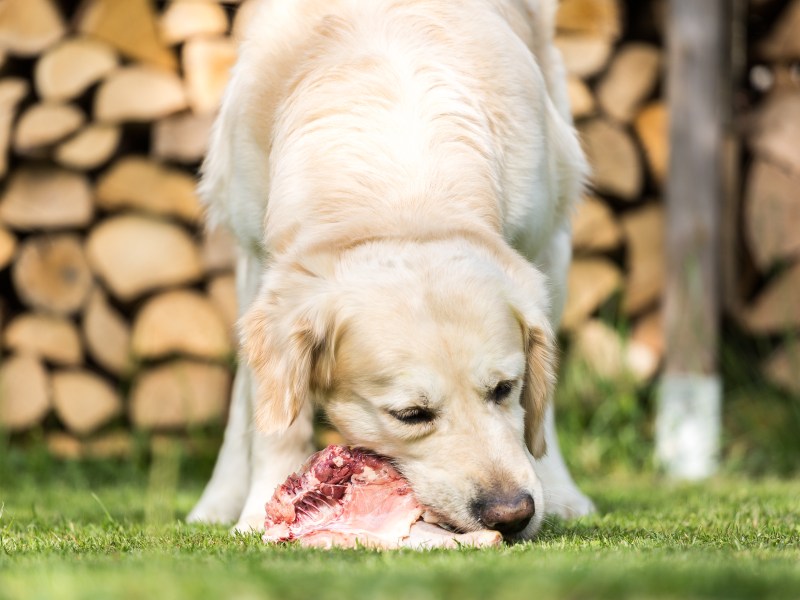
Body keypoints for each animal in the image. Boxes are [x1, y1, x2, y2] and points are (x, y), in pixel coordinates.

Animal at [189, 0, 592, 540]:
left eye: (505, 389)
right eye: (411, 415)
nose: (512, 514)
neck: (403, 197)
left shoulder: (539, 241)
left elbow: (539, 405)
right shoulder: (260, 259)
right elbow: (272, 416)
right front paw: (257, 510)